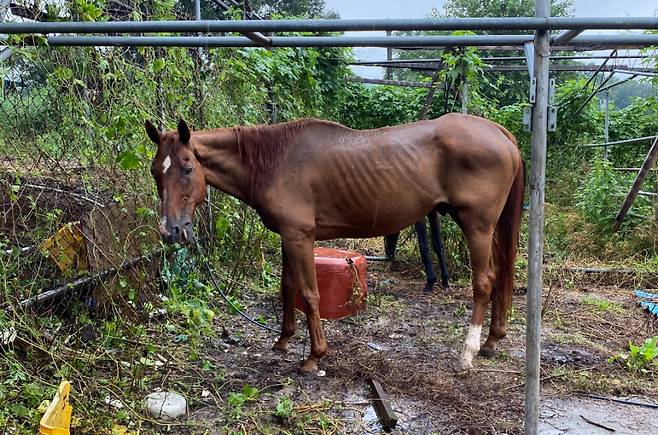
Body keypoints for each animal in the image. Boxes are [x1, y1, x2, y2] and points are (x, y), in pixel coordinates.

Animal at [145, 114, 524, 372]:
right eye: (155, 171)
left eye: (188, 167)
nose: (171, 230)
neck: (275, 160)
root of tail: (499, 133)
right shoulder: (289, 237)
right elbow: (287, 288)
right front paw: (283, 340)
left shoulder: (300, 236)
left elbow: (309, 293)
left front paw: (315, 356)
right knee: (499, 276)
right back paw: (492, 340)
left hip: (477, 226)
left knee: (484, 282)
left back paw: (467, 353)